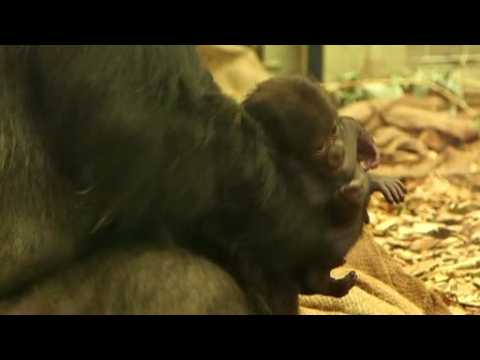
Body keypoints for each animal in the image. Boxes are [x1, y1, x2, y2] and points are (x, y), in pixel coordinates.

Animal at [242, 75, 406, 298]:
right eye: (319, 147)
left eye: (333, 131)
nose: (337, 149)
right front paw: (359, 188)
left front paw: (365, 143)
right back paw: (323, 283)